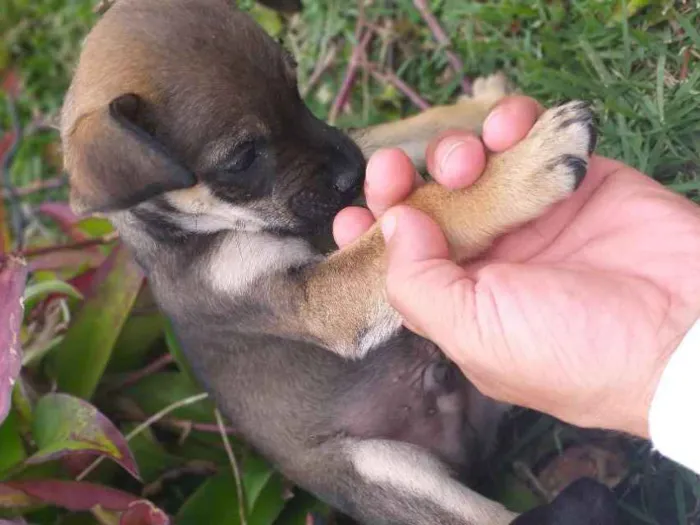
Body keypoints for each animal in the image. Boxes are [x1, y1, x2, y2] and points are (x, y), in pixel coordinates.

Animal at [61, 1, 616, 524]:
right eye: (241, 159)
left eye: (296, 84)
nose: (354, 174)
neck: (193, 230)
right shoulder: (313, 300)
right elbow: (421, 210)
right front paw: (520, 171)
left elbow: (408, 131)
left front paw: (480, 104)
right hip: (383, 469)